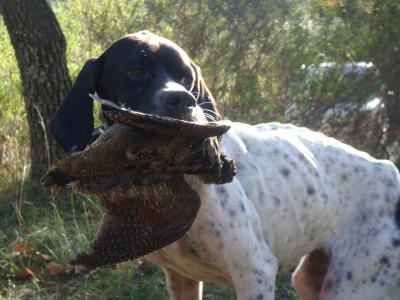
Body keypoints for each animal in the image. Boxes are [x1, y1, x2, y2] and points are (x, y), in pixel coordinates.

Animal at [49, 31, 400, 298]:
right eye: (136, 71)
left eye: (186, 77)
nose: (183, 99)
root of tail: (388, 169)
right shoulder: (182, 279)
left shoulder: (256, 272)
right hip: (312, 281)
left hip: (354, 286)